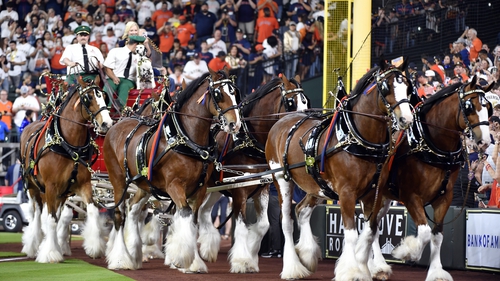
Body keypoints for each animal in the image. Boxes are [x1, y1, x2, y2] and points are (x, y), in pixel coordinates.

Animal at [266, 62, 414, 278]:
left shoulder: (373, 194)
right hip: (281, 179)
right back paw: (292, 267)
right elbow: (352, 234)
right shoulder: (346, 193)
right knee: (286, 221)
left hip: (318, 187)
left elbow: (370, 232)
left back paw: (307, 254)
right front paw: (351, 270)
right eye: (386, 87)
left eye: (408, 88)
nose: (406, 119)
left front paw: (367, 267)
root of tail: (283, 121)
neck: (355, 139)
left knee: (302, 211)